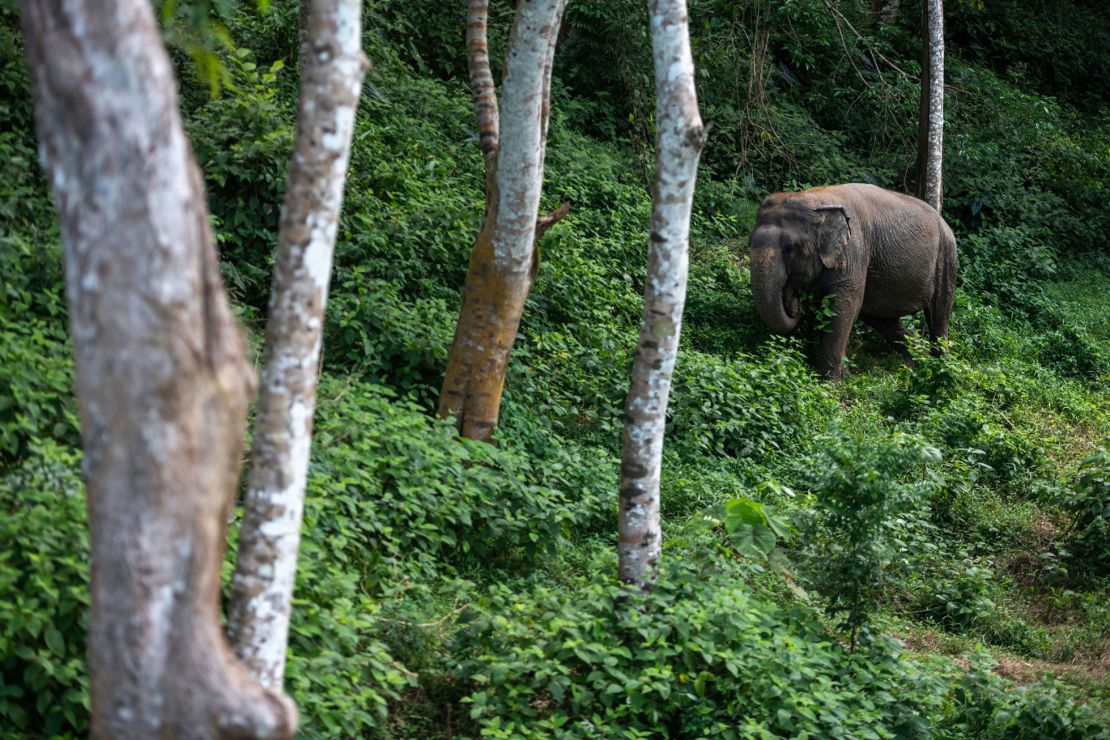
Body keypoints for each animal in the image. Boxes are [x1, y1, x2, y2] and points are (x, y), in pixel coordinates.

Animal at [750, 183, 959, 379]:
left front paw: (829, 384)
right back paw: (913, 364)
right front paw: (844, 375)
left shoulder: (854, 250)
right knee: (879, 317)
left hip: (946, 257)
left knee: (938, 312)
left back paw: (940, 368)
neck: (816, 199)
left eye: (790, 248)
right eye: (750, 243)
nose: (793, 304)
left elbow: (844, 305)